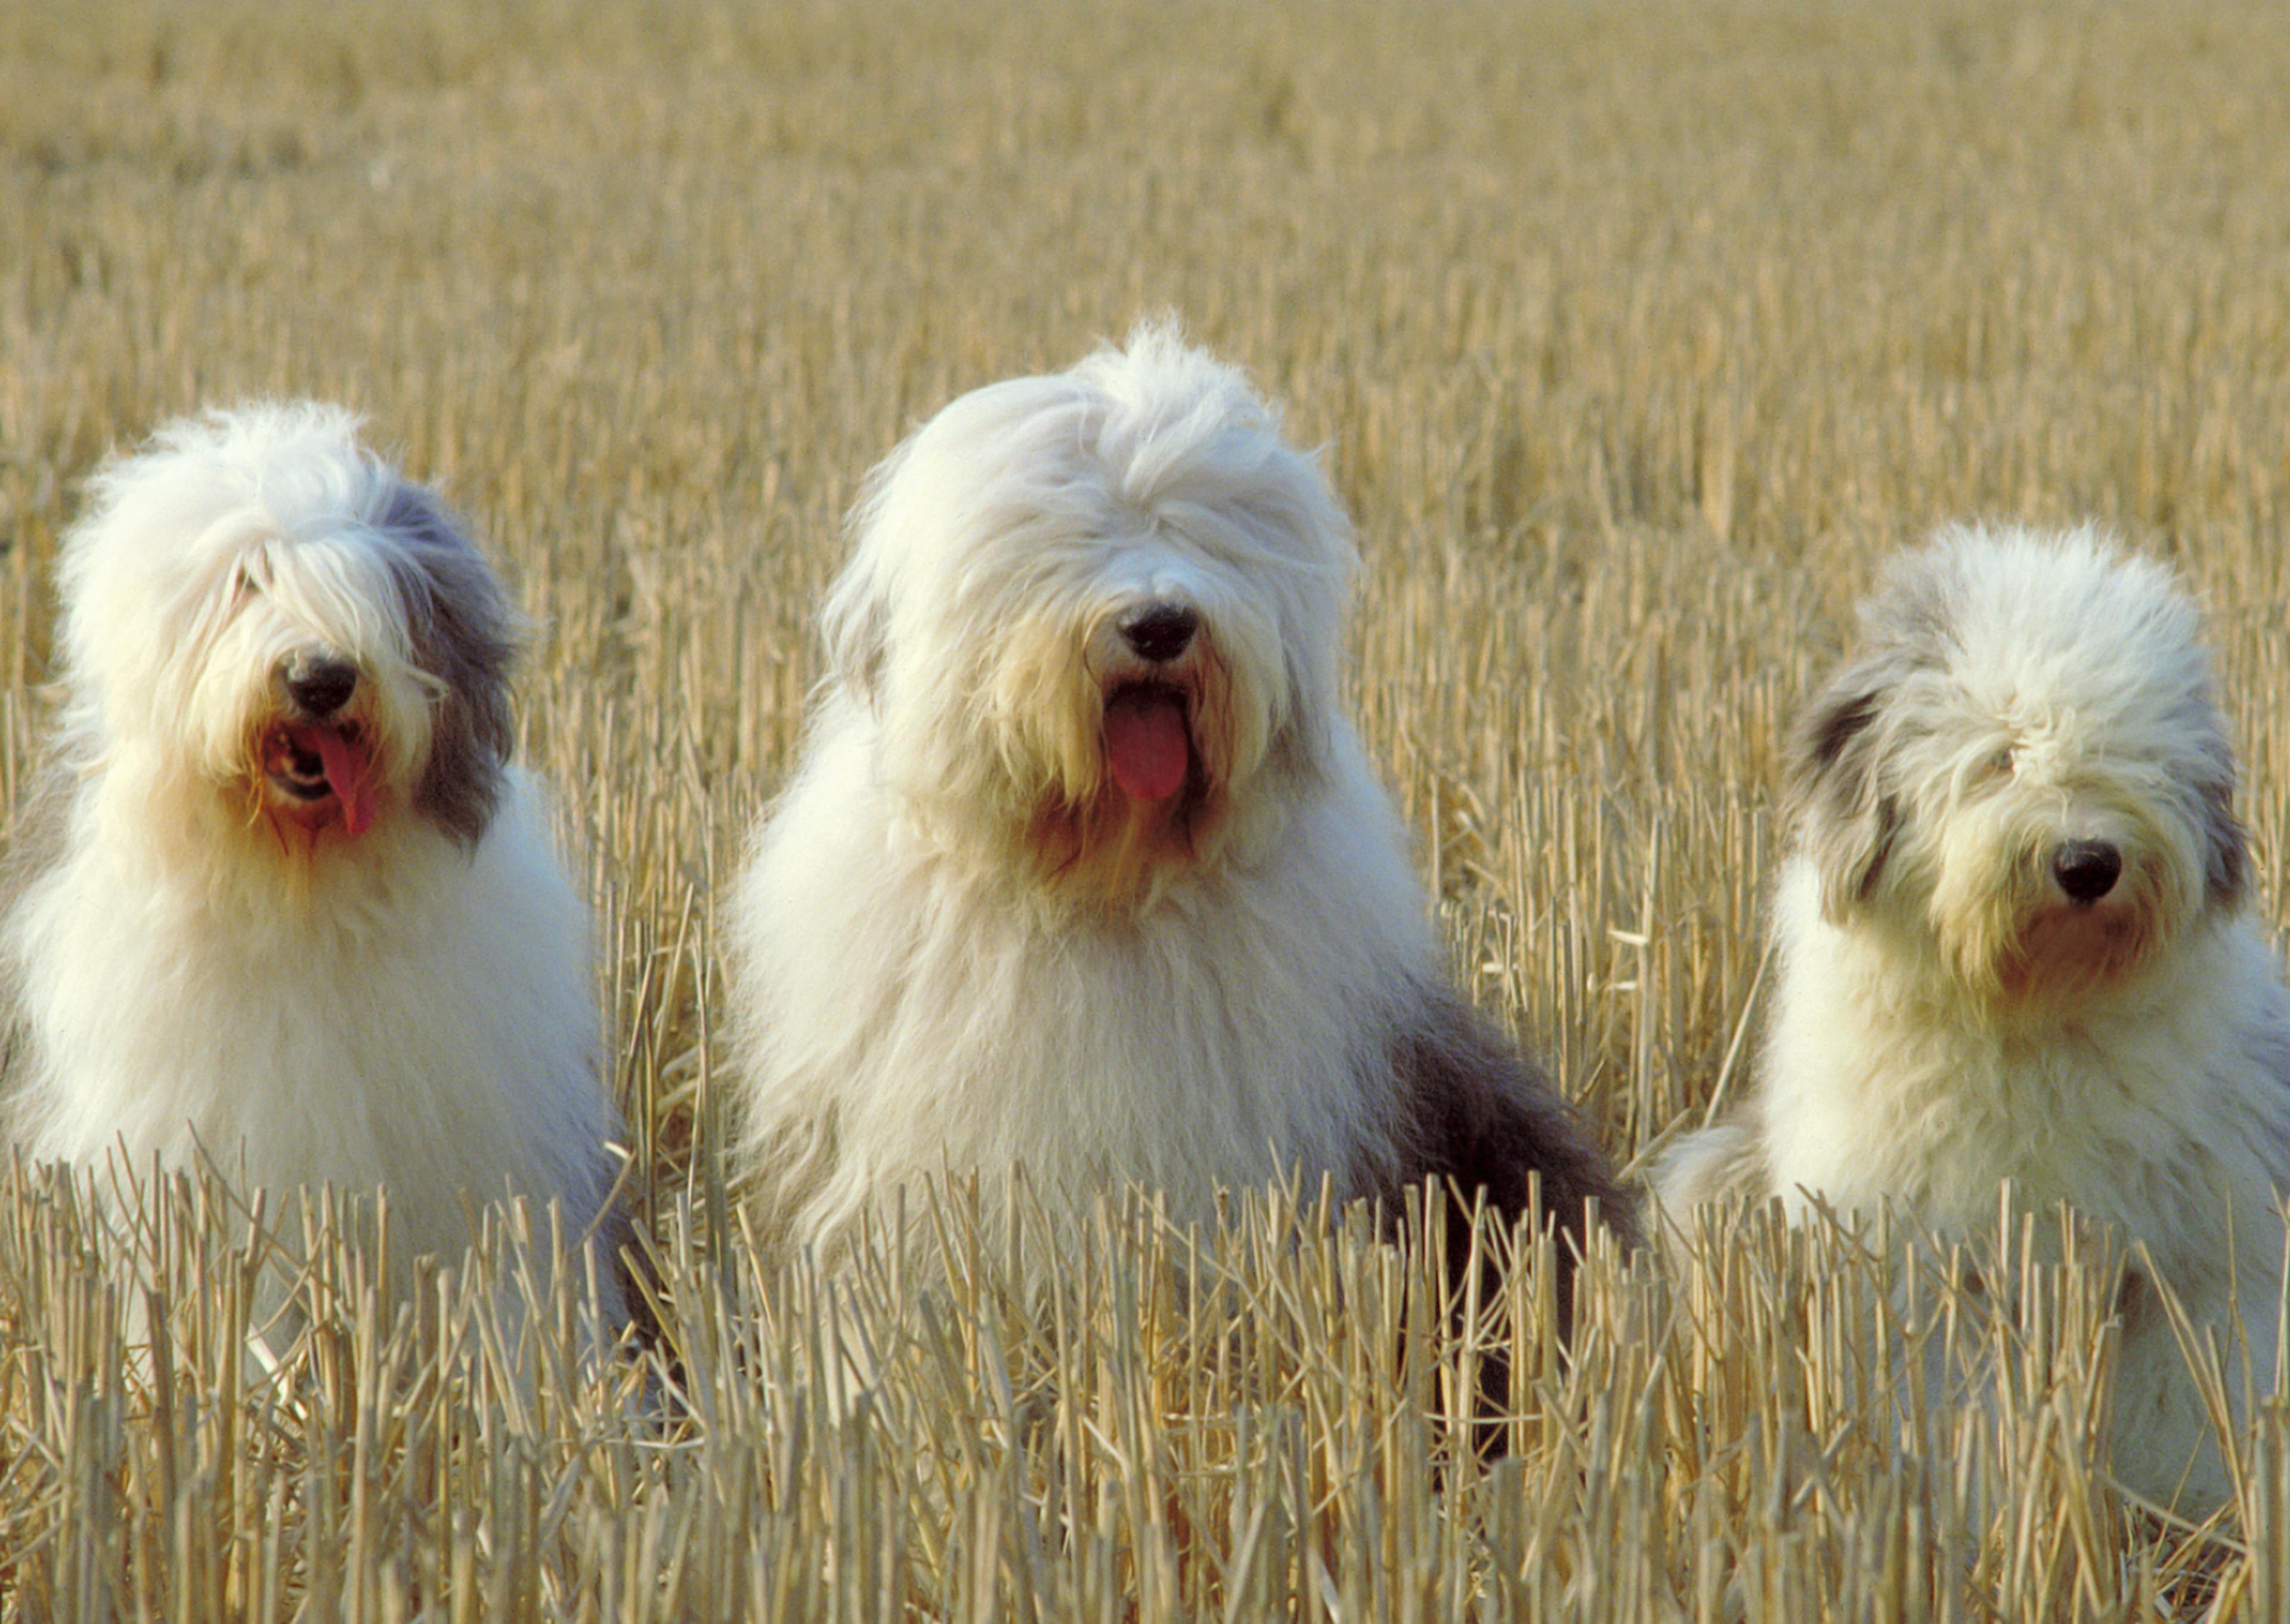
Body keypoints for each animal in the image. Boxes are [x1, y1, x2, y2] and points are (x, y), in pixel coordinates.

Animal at [1658, 522, 2290, 1511]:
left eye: (2138, 754)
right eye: (2001, 755)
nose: (2088, 862)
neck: (2036, 1010)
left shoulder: (2193, 1262)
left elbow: (2183, 1406)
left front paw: (2185, 1510)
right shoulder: (1922, 1265)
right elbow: (1957, 1413)